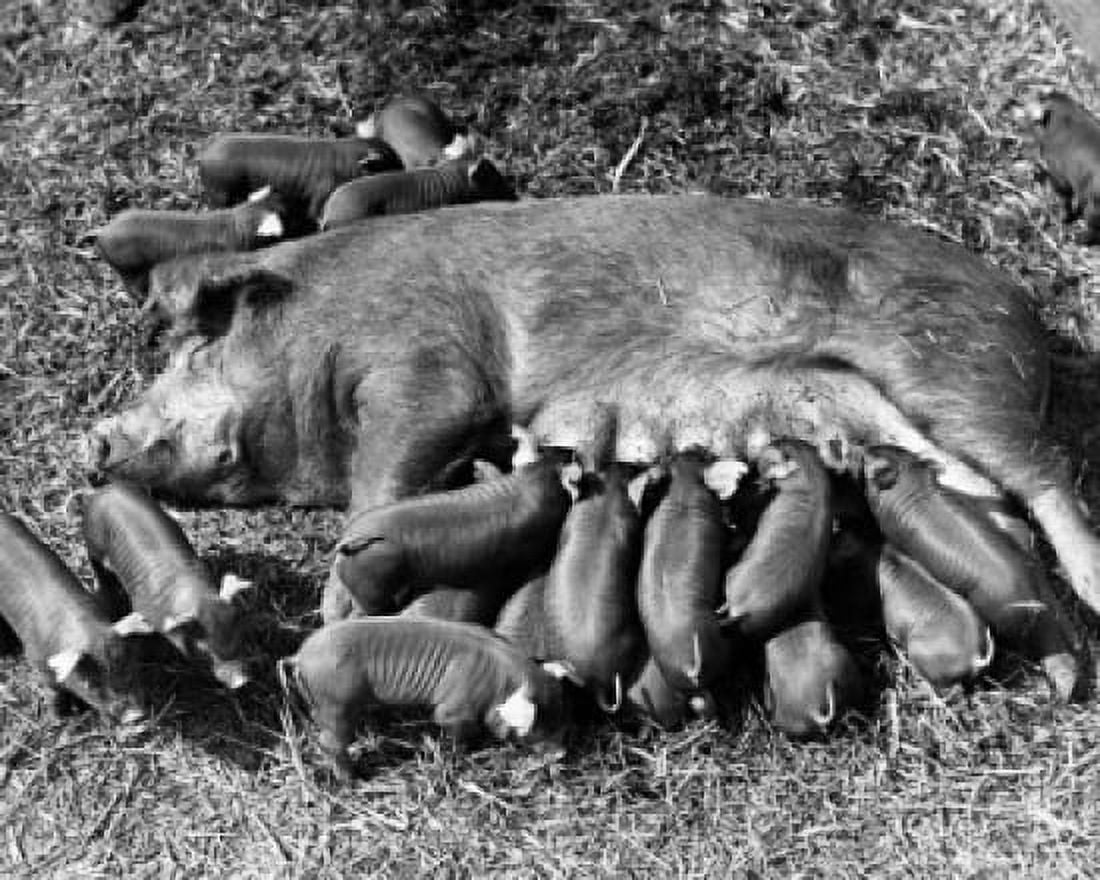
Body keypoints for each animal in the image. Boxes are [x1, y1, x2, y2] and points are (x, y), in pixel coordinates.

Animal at [0, 512, 148, 721]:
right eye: (91, 684)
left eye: (127, 668)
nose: (134, 715)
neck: (85, 629)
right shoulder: (36, 658)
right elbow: (54, 692)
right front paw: (60, 718)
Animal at [77, 481, 251, 689]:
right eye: (206, 649)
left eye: (238, 636)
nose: (241, 681)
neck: (194, 595)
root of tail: (105, 490)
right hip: (92, 544)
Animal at [197, 133, 403, 226]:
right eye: (389, 160)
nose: (404, 170)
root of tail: (204, 153)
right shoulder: (321, 193)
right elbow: (315, 214)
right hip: (219, 193)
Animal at [277, 617, 567, 780]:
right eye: (538, 728)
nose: (563, 754)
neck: (501, 684)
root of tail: (298, 656)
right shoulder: (454, 707)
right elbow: (452, 726)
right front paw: (461, 752)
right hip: (336, 702)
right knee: (331, 742)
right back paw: (353, 780)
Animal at [1027, 92, 1100, 244]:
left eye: (1042, 99)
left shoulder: (1058, 172)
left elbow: (1064, 196)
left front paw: (1064, 220)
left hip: (1094, 205)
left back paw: (1077, 237)